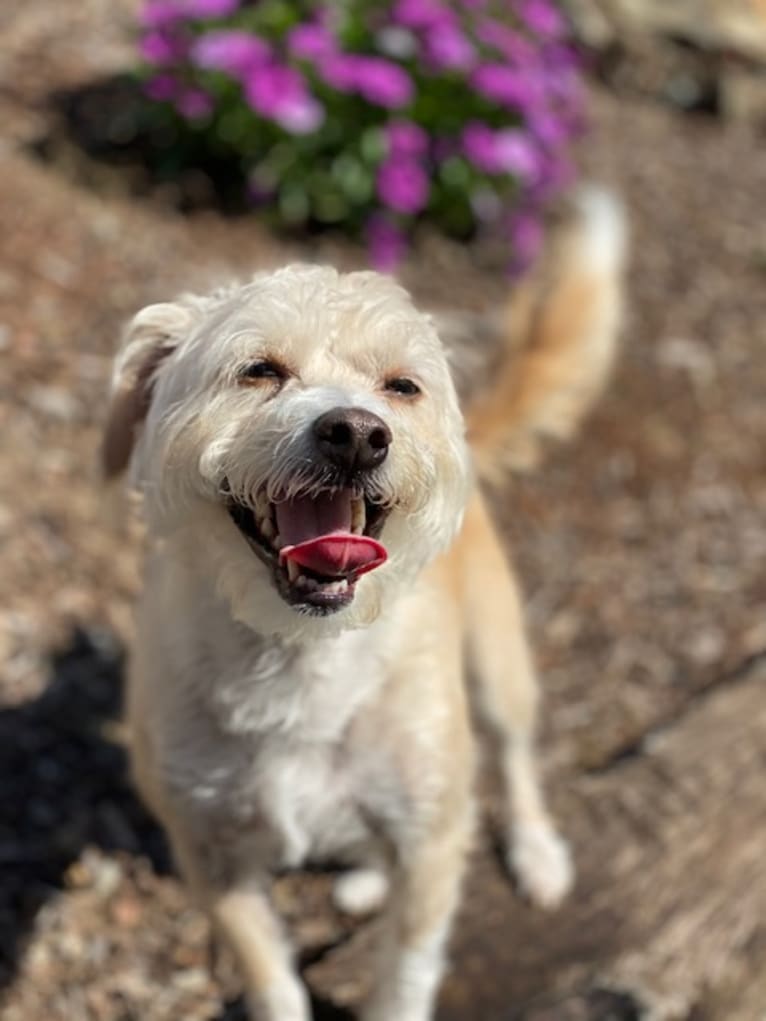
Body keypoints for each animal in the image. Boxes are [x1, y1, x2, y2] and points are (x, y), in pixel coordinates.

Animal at [103, 187, 629, 1016]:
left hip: (496, 667)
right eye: (259, 370)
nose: (355, 433)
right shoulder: (208, 852)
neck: (298, 658)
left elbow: (406, 970)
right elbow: (269, 975)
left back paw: (536, 850)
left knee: (514, 757)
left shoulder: (433, 839)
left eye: (402, 386)